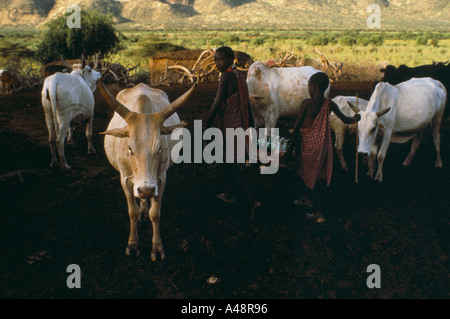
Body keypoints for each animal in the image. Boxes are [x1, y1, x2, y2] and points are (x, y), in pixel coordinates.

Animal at [98, 79, 195, 260]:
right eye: (130, 148)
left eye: (159, 148)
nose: (146, 190)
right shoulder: (125, 179)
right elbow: (133, 212)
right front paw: (133, 244)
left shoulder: (160, 179)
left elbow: (155, 214)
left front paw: (157, 247)